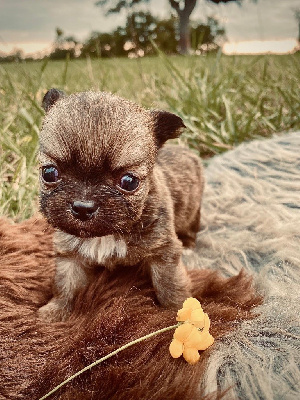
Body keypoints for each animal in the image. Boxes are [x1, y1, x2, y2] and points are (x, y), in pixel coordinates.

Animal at [37, 90, 204, 322]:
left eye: (129, 181)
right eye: (49, 173)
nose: (83, 207)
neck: (105, 235)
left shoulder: (163, 252)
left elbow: (169, 285)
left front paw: (177, 313)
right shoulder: (70, 255)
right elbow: (65, 284)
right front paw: (56, 311)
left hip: (192, 212)